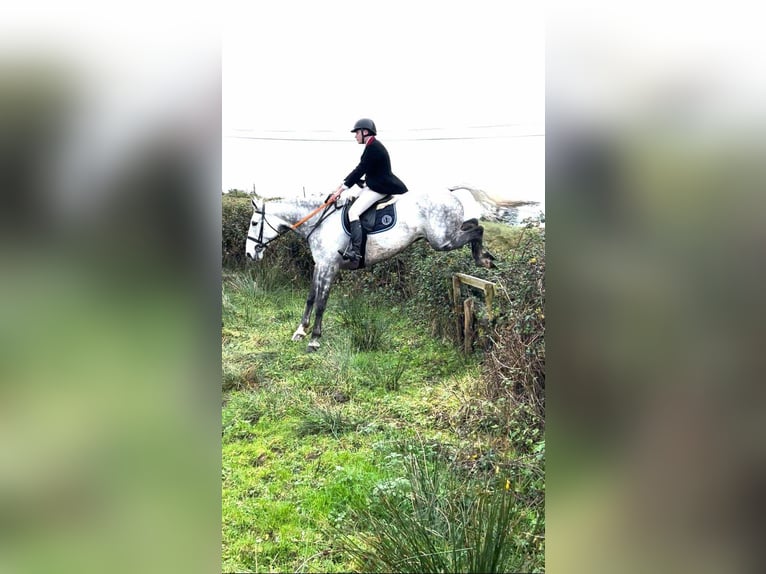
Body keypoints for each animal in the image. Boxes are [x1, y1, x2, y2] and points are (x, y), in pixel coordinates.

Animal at [248, 187, 516, 354]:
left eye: (253, 223)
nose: (250, 254)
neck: (321, 222)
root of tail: (449, 192)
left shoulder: (329, 267)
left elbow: (322, 302)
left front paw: (314, 339)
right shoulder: (320, 265)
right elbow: (311, 297)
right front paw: (300, 331)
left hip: (443, 240)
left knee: (478, 229)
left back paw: (484, 259)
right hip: (446, 235)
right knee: (473, 224)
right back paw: (484, 256)